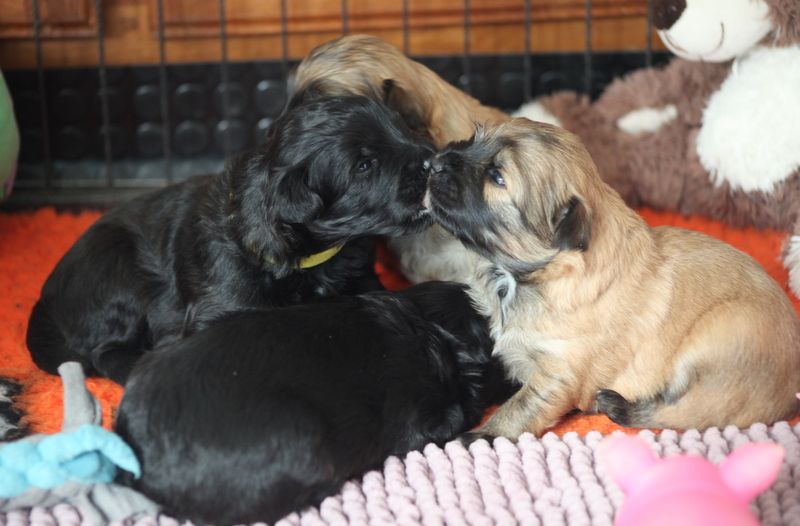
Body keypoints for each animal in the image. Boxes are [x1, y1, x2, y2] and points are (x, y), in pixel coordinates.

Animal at [26, 94, 432, 384]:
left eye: (401, 127)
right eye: (365, 165)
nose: (432, 160)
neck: (313, 256)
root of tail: (45, 298)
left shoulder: (362, 277)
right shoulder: (219, 307)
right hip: (117, 268)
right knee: (104, 353)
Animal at [428, 119, 800, 438]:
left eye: (497, 176)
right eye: (474, 139)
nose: (433, 164)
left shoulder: (558, 374)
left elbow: (520, 408)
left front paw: (479, 436)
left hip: (718, 349)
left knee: (684, 413)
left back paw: (614, 405)